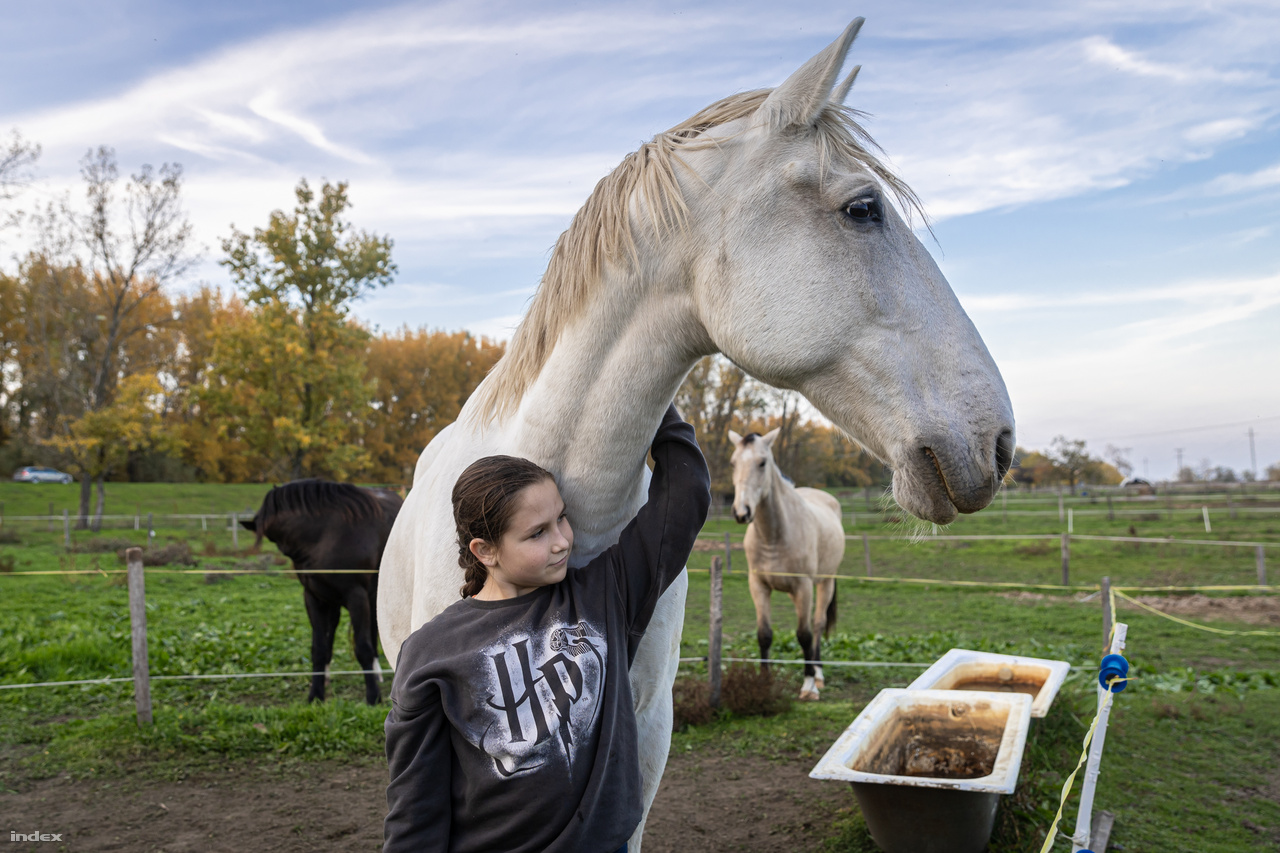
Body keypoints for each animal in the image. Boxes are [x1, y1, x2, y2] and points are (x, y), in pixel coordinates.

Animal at [240, 479, 399, 701]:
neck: (325, 534)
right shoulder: (313, 597)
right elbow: (319, 648)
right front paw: (316, 693)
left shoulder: (356, 596)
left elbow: (362, 647)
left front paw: (373, 696)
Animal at [732, 425, 849, 696]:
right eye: (733, 463)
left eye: (762, 462)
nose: (742, 512)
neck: (774, 536)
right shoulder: (758, 586)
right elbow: (764, 634)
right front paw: (764, 681)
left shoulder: (803, 587)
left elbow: (804, 635)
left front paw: (808, 686)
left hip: (825, 582)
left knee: (817, 625)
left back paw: (818, 673)